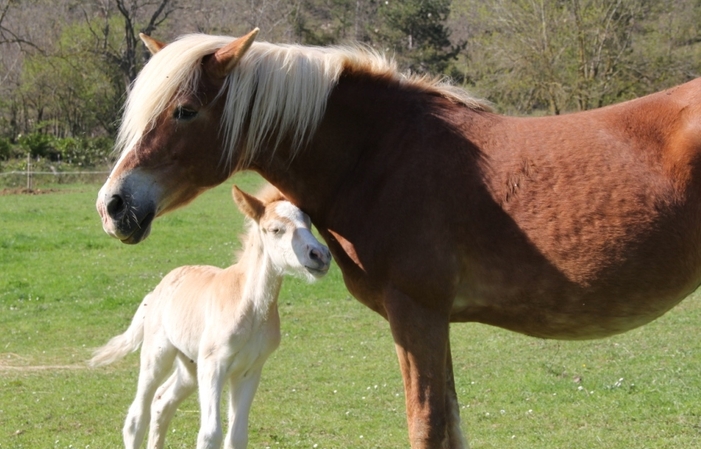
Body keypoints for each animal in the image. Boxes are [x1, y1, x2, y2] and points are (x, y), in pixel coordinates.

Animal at [89, 183, 330, 448]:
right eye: (276, 229)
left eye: (309, 223)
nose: (320, 255)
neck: (250, 307)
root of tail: (156, 291)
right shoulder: (213, 366)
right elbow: (210, 434)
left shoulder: (249, 371)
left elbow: (237, 437)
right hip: (158, 355)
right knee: (136, 417)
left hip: (189, 367)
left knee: (162, 401)